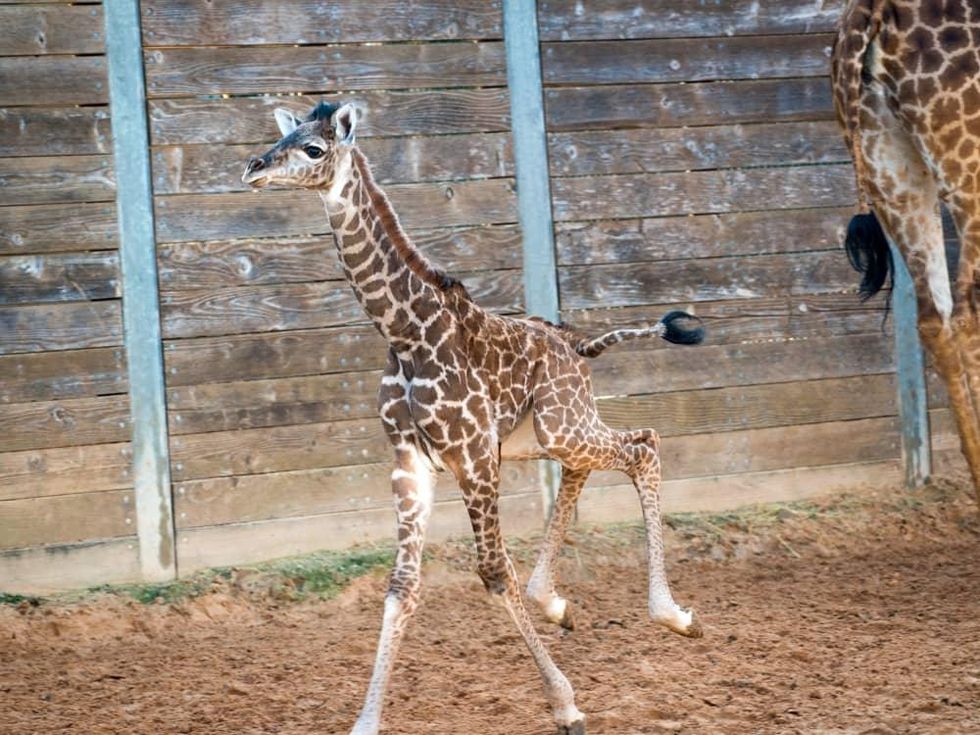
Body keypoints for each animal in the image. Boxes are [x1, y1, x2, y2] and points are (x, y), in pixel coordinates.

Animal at [244, 102, 704, 735]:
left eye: (314, 148)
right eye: (282, 135)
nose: (254, 168)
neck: (405, 335)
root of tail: (578, 346)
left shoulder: (473, 457)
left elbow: (492, 571)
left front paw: (566, 704)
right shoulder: (411, 460)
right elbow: (402, 585)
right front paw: (365, 723)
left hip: (561, 425)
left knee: (644, 445)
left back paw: (673, 615)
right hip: (545, 435)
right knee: (610, 455)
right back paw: (555, 602)